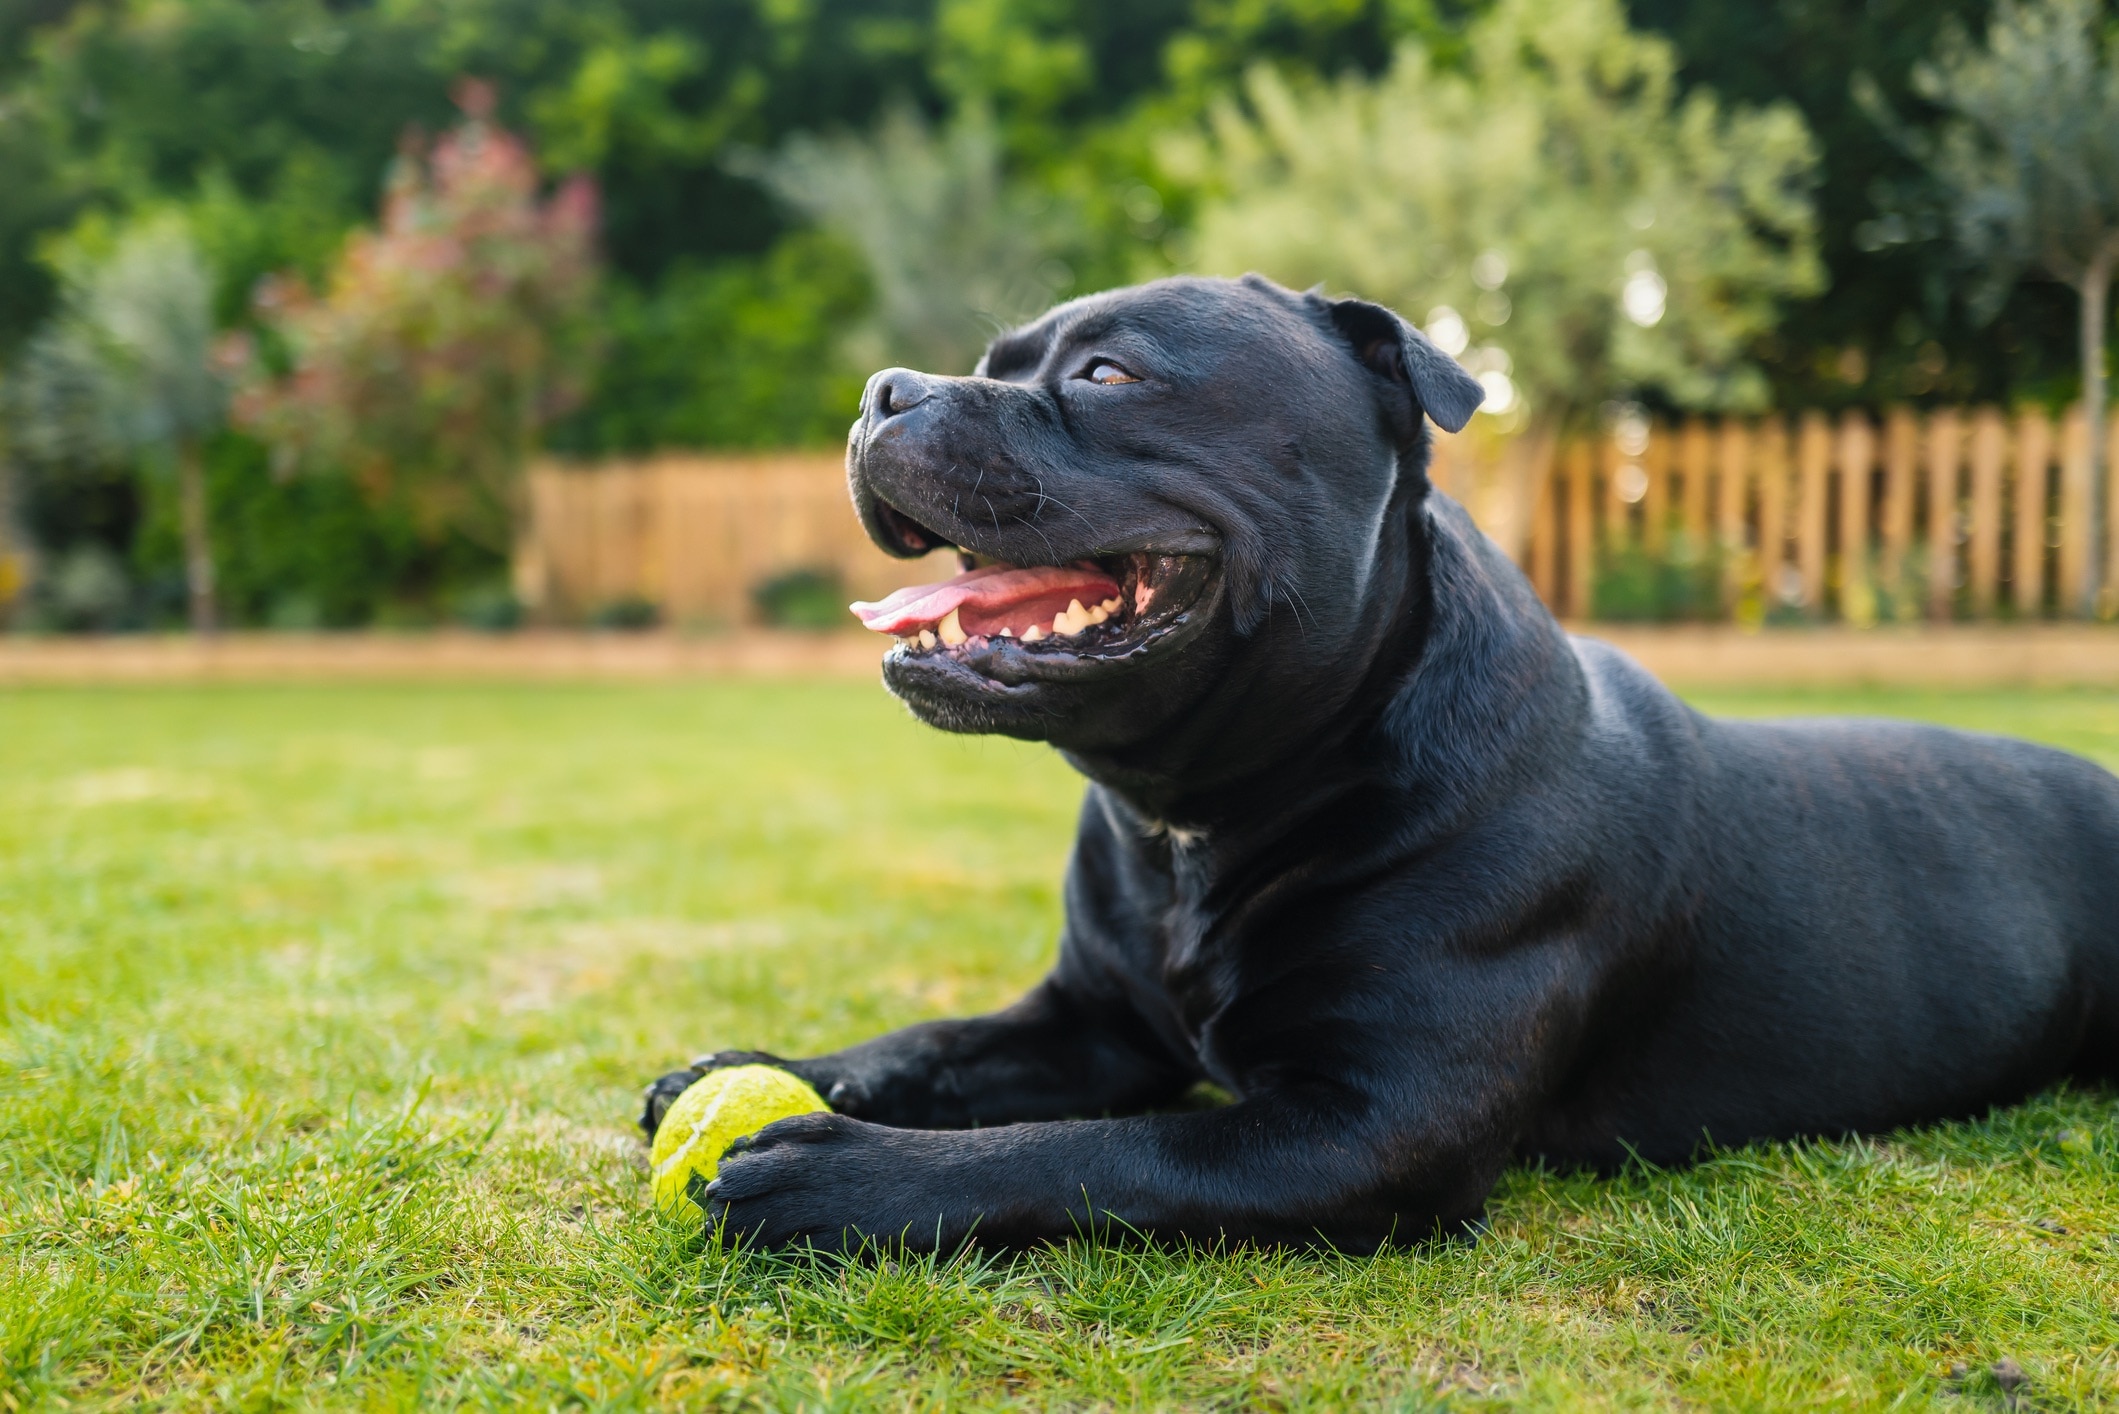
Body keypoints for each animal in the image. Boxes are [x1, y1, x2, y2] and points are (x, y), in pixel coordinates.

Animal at [639, 273, 2119, 1246]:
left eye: (1108, 375)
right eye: (994, 358)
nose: (881, 391)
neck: (1199, 815)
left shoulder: (1357, 1126)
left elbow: (1092, 1151)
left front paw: (834, 1175)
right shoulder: (1087, 1022)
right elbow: (936, 1044)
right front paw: (764, 1066)